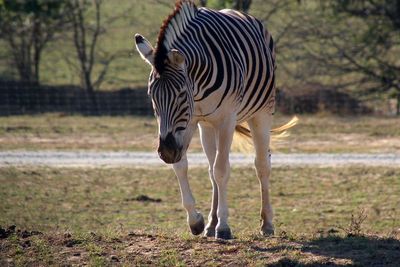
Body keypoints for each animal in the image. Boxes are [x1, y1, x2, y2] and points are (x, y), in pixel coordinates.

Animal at [134, 0, 294, 241]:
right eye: (151, 95)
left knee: (261, 164)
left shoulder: (227, 119)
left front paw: (224, 227)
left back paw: (266, 224)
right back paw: (211, 224)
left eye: (181, 94)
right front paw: (197, 221)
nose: (167, 152)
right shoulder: (190, 122)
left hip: (262, 111)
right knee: (211, 168)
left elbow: (222, 170)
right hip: (207, 125)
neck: (197, 87)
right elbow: (183, 167)